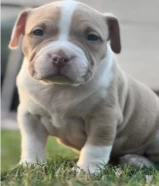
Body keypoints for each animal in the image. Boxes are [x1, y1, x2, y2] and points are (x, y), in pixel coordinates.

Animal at [9, 0, 159, 173]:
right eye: (38, 32)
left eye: (92, 37)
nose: (60, 56)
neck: (59, 87)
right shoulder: (30, 116)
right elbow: (32, 142)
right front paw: (30, 165)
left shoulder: (103, 117)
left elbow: (95, 146)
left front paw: (87, 170)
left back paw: (138, 160)